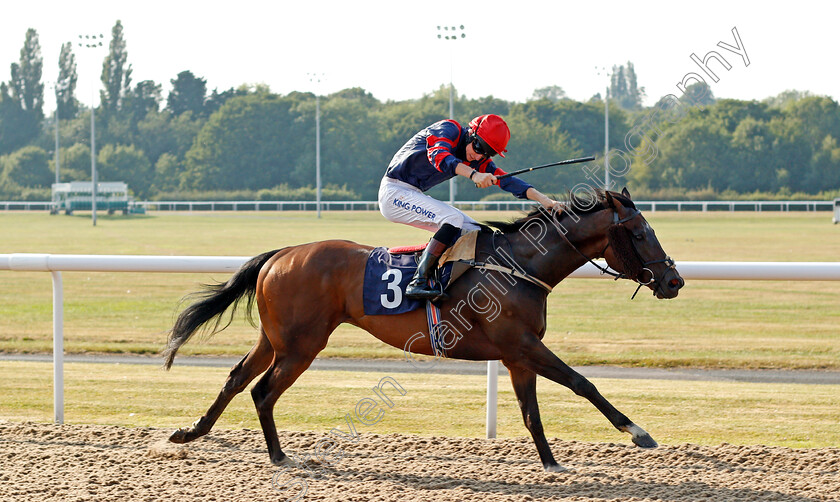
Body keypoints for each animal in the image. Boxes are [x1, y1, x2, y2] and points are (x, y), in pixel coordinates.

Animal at [162, 187, 684, 470]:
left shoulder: (517, 354)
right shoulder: (522, 344)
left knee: (237, 378)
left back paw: (190, 433)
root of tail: (281, 254)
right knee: (263, 391)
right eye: (641, 233)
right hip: (300, 345)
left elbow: (531, 412)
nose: (674, 281)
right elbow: (582, 382)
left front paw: (552, 463)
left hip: (275, 339)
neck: (518, 265)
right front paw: (638, 432)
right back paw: (277, 456)